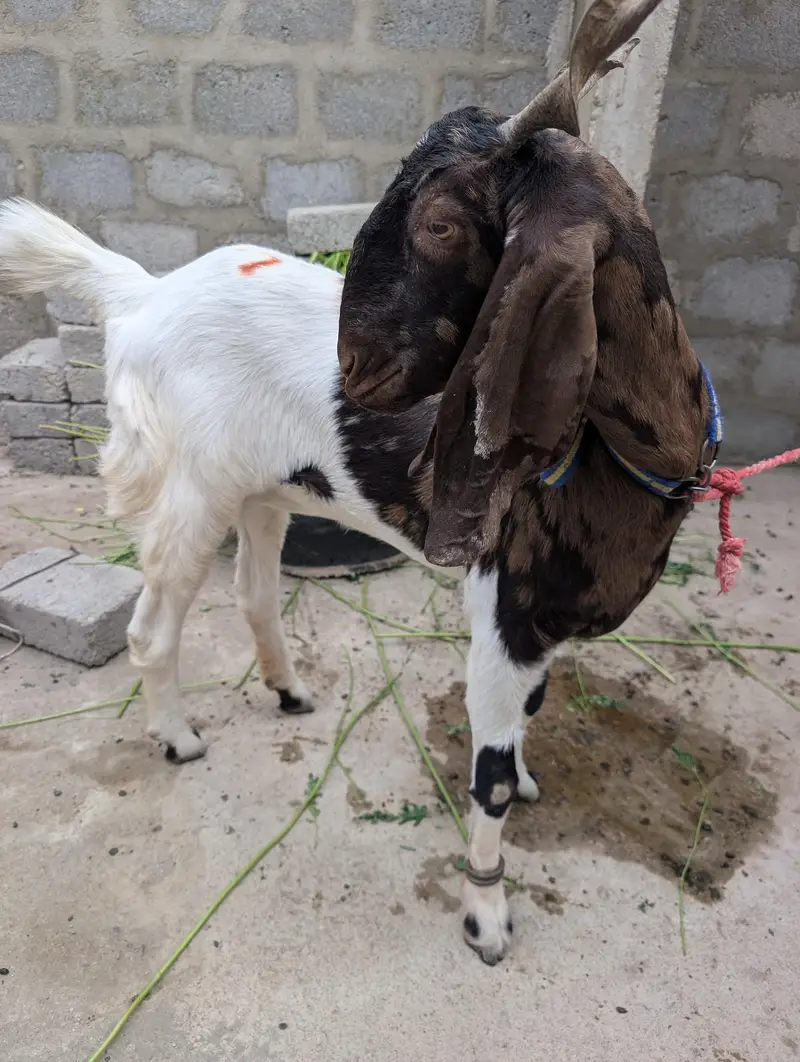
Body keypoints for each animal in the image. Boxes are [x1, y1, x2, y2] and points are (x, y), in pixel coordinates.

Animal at [337, 0, 722, 964]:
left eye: (439, 225)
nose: (350, 368)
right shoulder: (504, 619)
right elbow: (492, 784)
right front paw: (486, 915)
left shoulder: (539, 630)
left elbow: (531, 722)